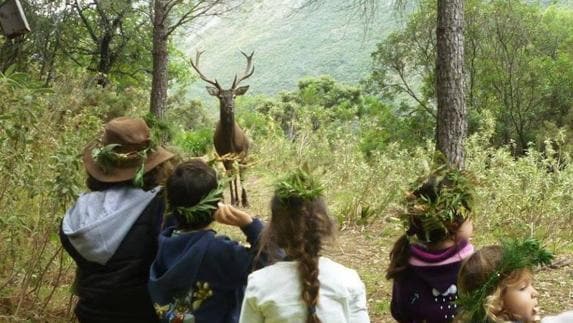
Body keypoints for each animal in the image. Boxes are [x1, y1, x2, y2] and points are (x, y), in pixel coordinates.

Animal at [191, 50, 254, 208]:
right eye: (220, 97)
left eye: (234, 96)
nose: (229, 107)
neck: (230, 142)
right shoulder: (223, 155)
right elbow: (230, 177)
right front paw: (234, 200)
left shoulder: (243, 153)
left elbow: (242, 176)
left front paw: (245, 201)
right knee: (231, 174)